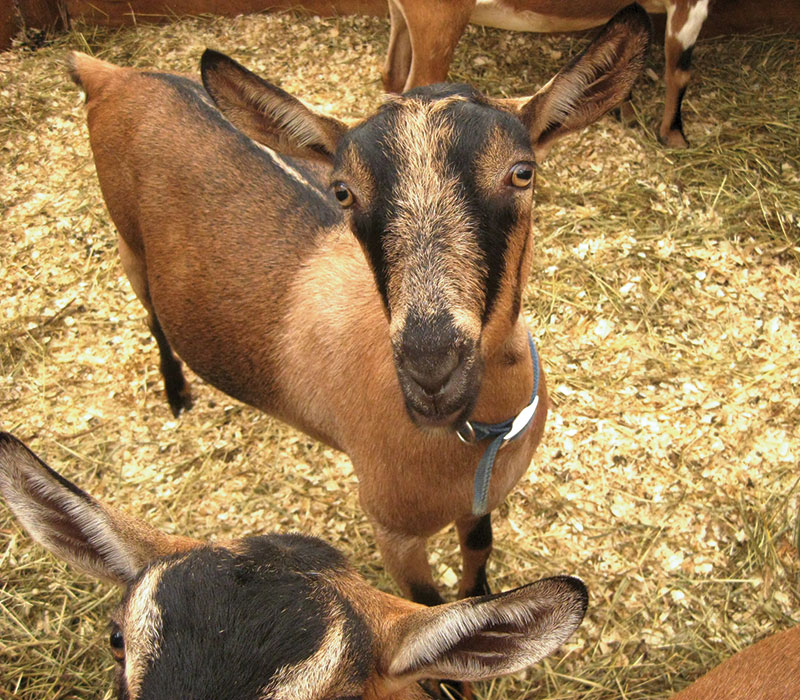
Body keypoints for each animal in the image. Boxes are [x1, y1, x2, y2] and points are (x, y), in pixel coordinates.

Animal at [67, 4, 650, 607]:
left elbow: (478, 551)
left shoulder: (479, 503)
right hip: (129, 243)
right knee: (154, 317)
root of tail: (111, 75)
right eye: (344, 192)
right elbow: (426, 605)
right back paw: (177, 394)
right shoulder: (392, 528)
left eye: (522, 172)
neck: (476, 434)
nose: (431, 368)